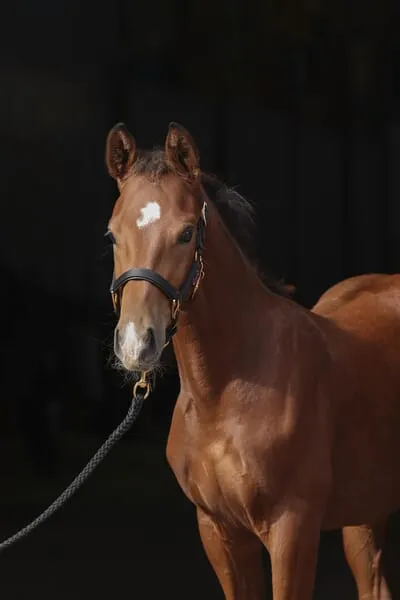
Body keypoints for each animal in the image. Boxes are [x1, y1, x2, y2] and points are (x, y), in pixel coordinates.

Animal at [104, 121, 400, 600]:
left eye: (187, 233)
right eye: (112, 235)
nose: (136, 344)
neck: (224, 395)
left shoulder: (293, 528)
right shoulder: (219, 530)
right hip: (366, 511)